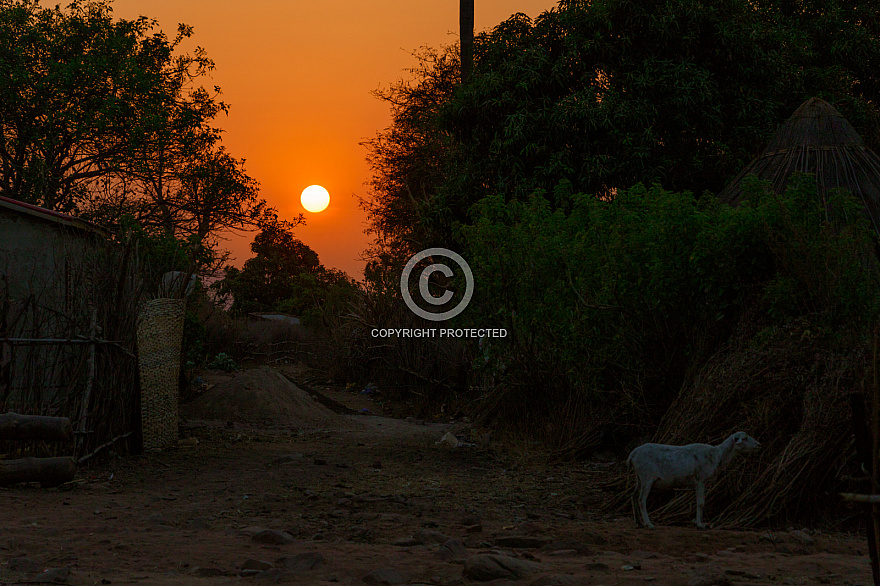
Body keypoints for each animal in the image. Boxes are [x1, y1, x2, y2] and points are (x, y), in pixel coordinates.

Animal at [624, 428, 764, 528]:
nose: (759, 444)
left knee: (633, 496)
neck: (717, 456)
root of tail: (633, 454)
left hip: (639, 478)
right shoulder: (700, 479)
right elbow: (701, 502)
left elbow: (701, 502)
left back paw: (639, 523)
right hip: (647, 477)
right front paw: (700, 524)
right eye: (744, 438)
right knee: (641, 500)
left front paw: (701, 523)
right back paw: (649, 524)